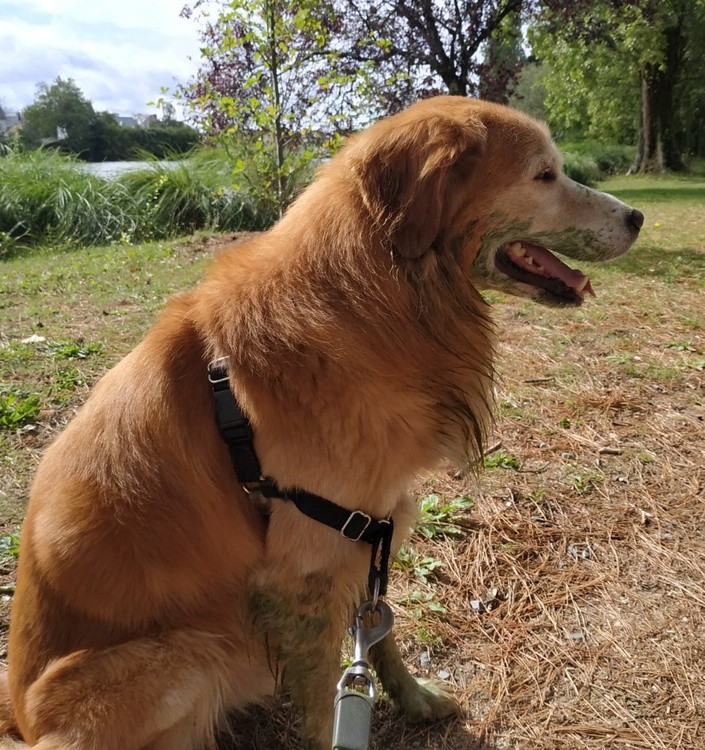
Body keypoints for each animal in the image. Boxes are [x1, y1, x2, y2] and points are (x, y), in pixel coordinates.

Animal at [0, 97, 640, 748]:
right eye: (544, 174)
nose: (638, 216)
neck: (374, 298)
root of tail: (20, 719)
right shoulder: (307, 566)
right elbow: (320, 698)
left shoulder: (369, 530)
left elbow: (379, 635)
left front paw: (414, 699)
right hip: (192, 656)